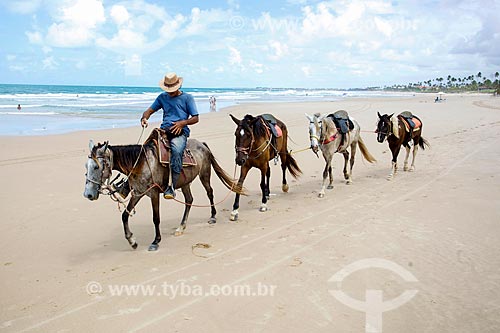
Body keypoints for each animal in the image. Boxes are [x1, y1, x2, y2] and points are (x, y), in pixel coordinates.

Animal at [83, 137, 242, 249]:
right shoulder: (138, 193)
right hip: (185, 183)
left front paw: (156, 241)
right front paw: (132, 241)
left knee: (209, 193)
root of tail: (202, 144)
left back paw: (213, 216)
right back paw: (181, 227)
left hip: (205, 174)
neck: (140, 163)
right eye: (86, 166)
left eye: (96, 167)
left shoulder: (153, 194)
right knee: (189, 200)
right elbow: (124, 215)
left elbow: (156, 218)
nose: (88, 194)